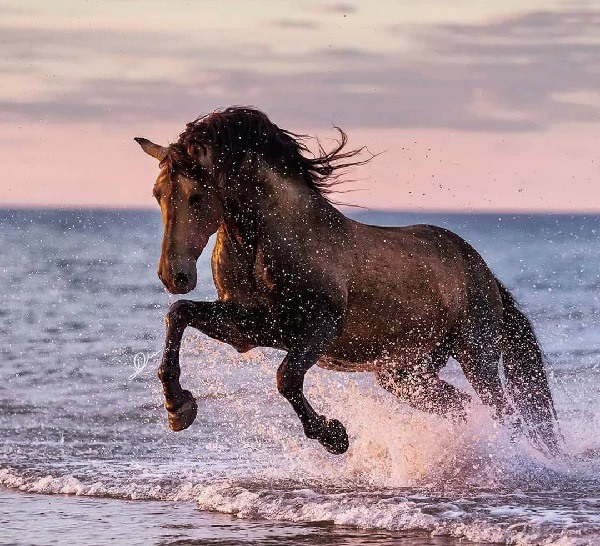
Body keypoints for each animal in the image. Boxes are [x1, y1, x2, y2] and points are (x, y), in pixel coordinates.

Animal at [134, 104, 560, 452]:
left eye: (195, 196)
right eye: (157, 194)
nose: (174, 275)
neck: (268, 240)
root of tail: (482, 271)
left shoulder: (319, 326)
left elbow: (286, 378)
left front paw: (333, 436)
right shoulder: (251, 327)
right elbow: (179, 313)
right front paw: (178, 408)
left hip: (476, 354)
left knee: (506, 413)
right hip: (405, 374)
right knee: (463, 408)